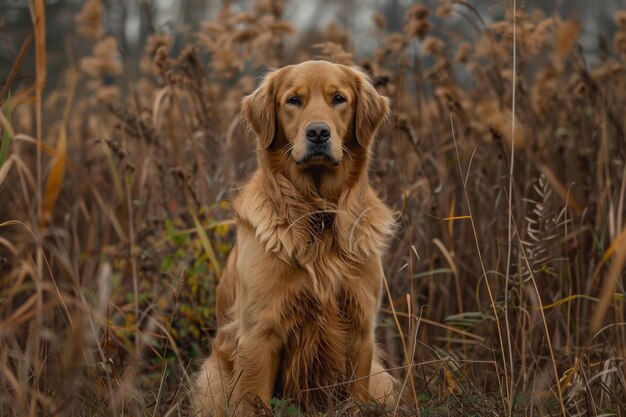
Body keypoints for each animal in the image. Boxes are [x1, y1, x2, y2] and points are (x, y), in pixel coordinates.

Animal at [193, 60, 394, 414]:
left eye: (338, 98)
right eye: (293, 100)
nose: (318, 133)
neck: (318, 213)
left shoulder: (360, 328)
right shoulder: (259, 333)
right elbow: (252, 402)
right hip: (213, 378)